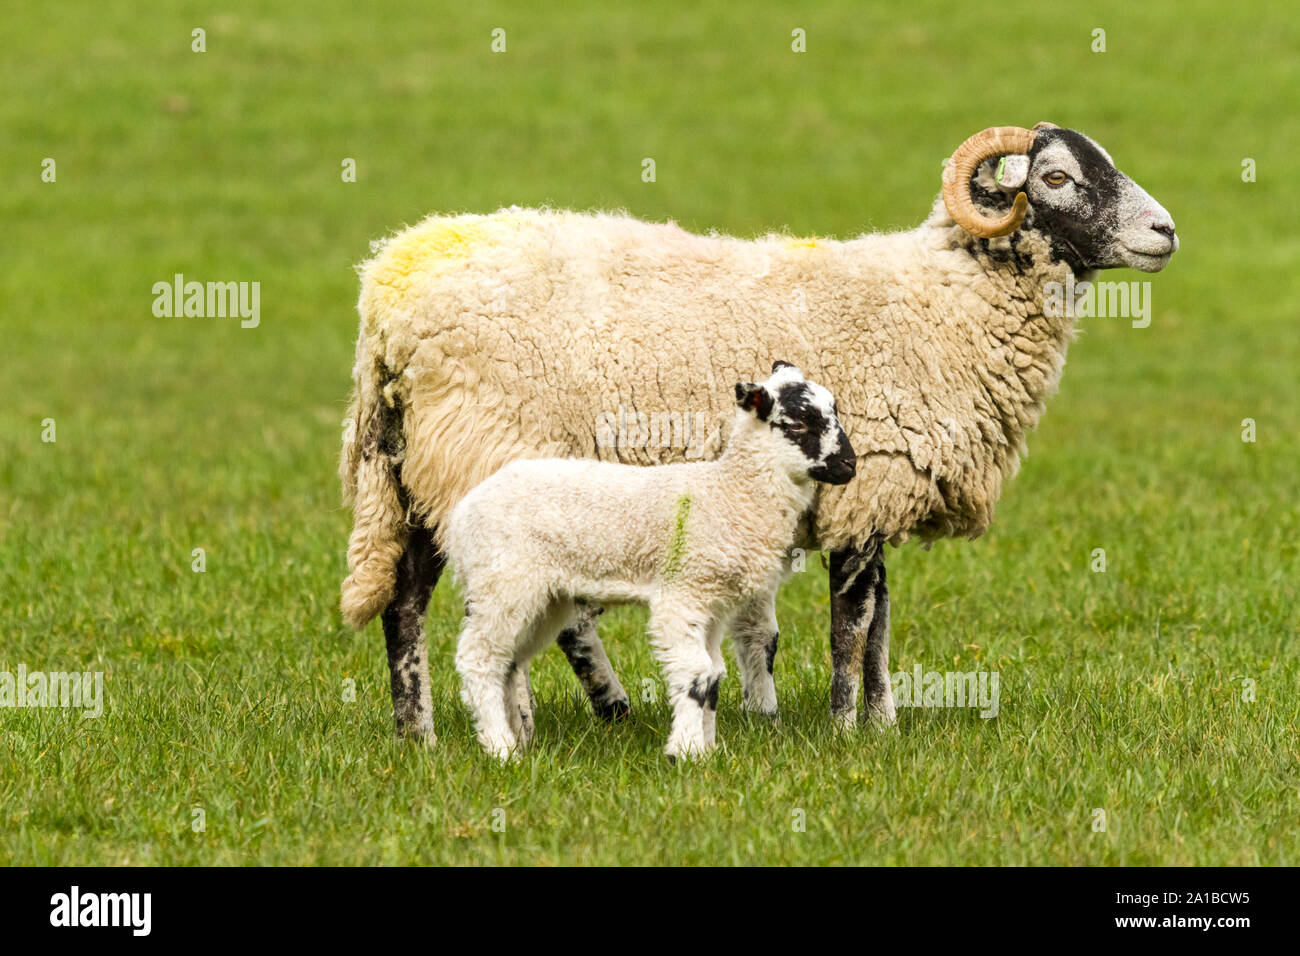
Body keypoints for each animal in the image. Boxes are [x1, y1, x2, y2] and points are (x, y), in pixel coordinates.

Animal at [447, 366, 852, 764]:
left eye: (835, 412)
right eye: (797, 424)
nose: (850, 465)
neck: (730, 492)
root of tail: (462, 514)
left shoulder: (713, 606)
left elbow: (714, 675)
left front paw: (708, 751)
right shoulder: (683, 593)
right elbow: (696, 672)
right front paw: (684, 752)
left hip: (543, 597)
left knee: (508, 661)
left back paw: (517, 742)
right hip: (504, 581)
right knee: (479, 657)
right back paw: (500, 749)